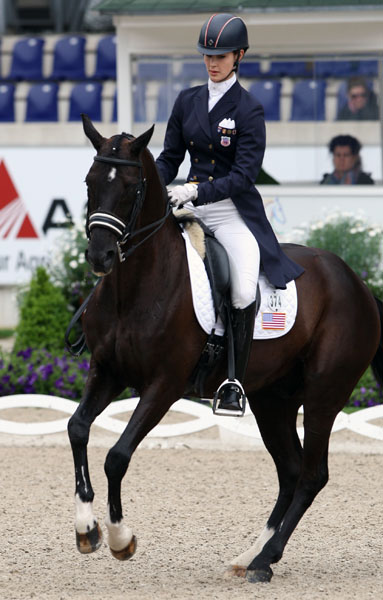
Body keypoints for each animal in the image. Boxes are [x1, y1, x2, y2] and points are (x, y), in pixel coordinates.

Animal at [68, 115, 383, 584]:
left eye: (130, 187)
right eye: (89, 182)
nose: (100, 256)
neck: (136, 286)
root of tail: (358, 284)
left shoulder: (163, 385)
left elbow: (118, 455)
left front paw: (121, 539)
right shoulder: (107, 372)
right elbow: (77, 429)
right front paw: (87, 529)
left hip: (325, 393)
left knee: (312, 475)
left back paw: (265, 559)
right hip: (273, 399)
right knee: (291, 471)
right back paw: (252, 555)